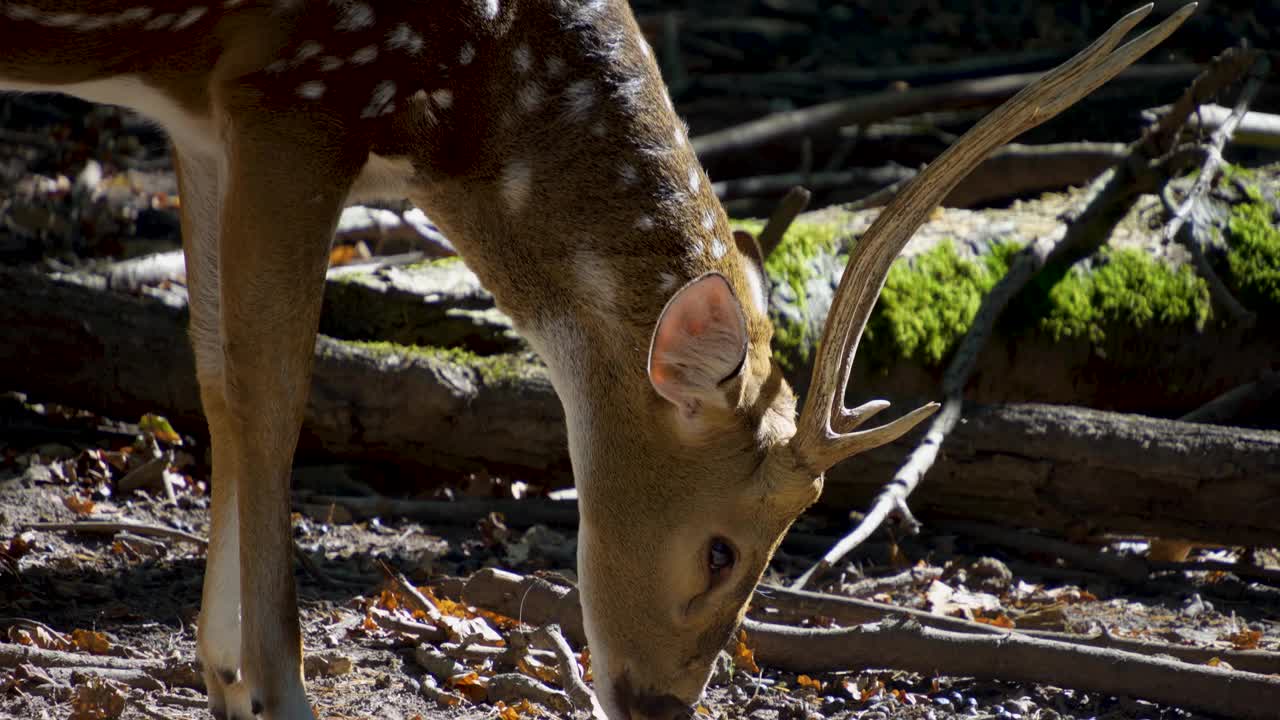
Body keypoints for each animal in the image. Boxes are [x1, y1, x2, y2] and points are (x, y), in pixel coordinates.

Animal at [0, 1, 1187, 717]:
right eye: (720, 547)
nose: (662, 705)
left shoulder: (203, 116)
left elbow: (211, 372)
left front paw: (221, 677)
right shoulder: (298, 91)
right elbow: (272, 385)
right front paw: (276, 693)